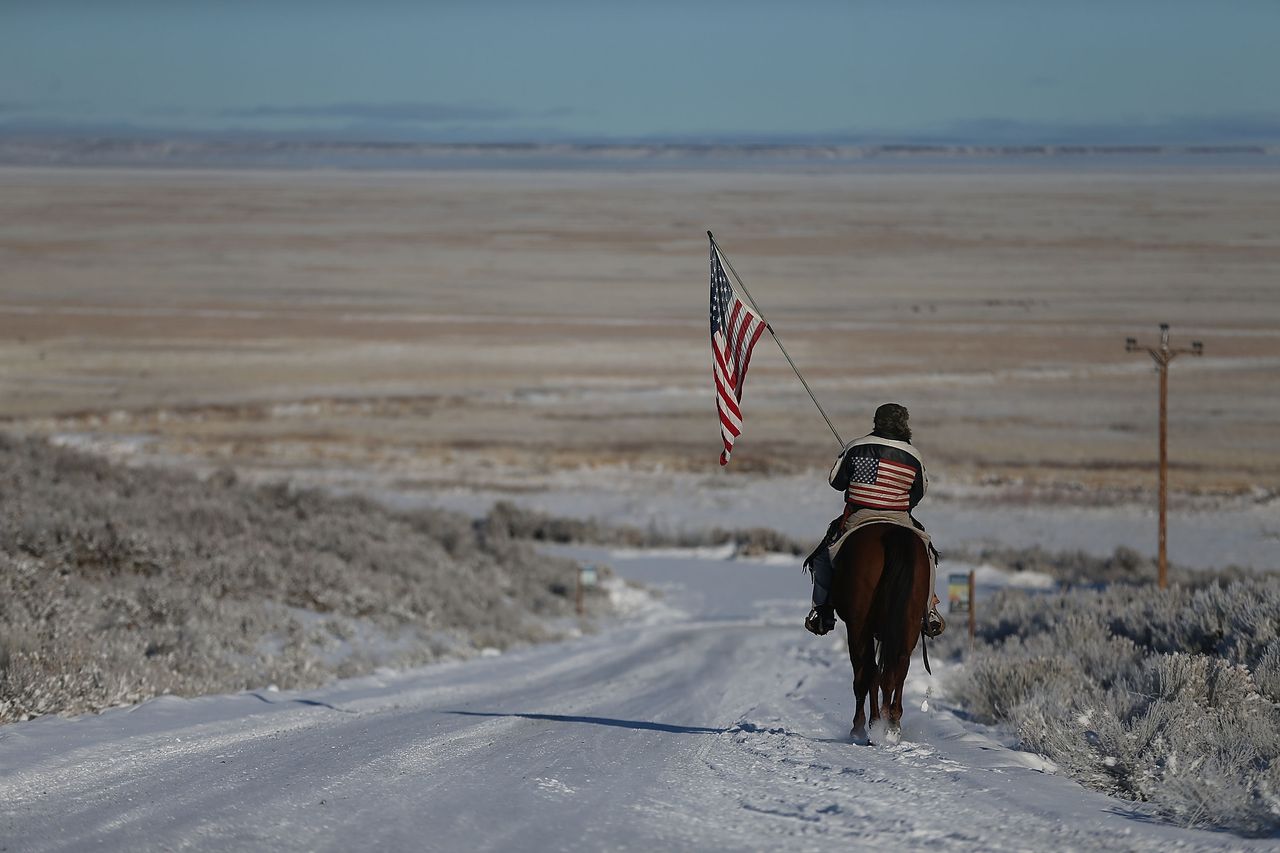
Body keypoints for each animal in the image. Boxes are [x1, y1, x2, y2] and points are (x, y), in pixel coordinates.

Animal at [829, 517, 931, 742]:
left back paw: (872, 725)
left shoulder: (858, 628)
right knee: (898, 668)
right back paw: (891, 725)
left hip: (859, 626)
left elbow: (864, 675)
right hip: (909, 624)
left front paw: (859, 727)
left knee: (868, 671)